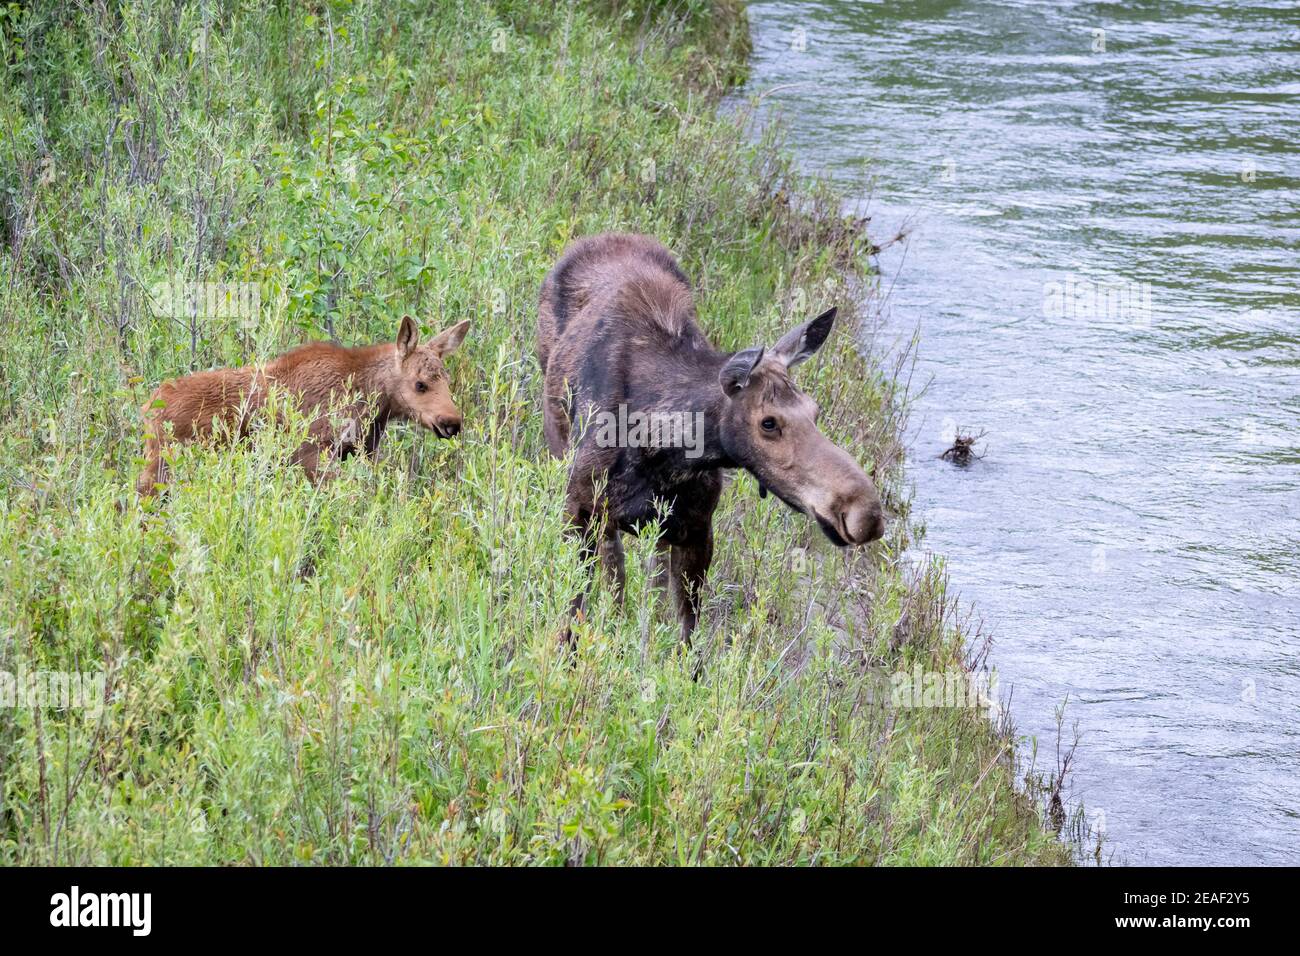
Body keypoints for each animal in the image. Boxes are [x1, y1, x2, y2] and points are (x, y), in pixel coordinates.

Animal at [137, 317, 470, 496]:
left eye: (447, 380)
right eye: (420, 384)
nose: (452, 422)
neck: (371, 401)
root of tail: (147, 409)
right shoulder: (313, 456)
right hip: (164, 466)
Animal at [535, 235, 883, 647]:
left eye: (815, 411)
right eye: (768, 422)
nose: (865, 512)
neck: (660, 449)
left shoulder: (697, 527)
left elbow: (686, 638)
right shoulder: (579, 509)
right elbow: (575, 612)